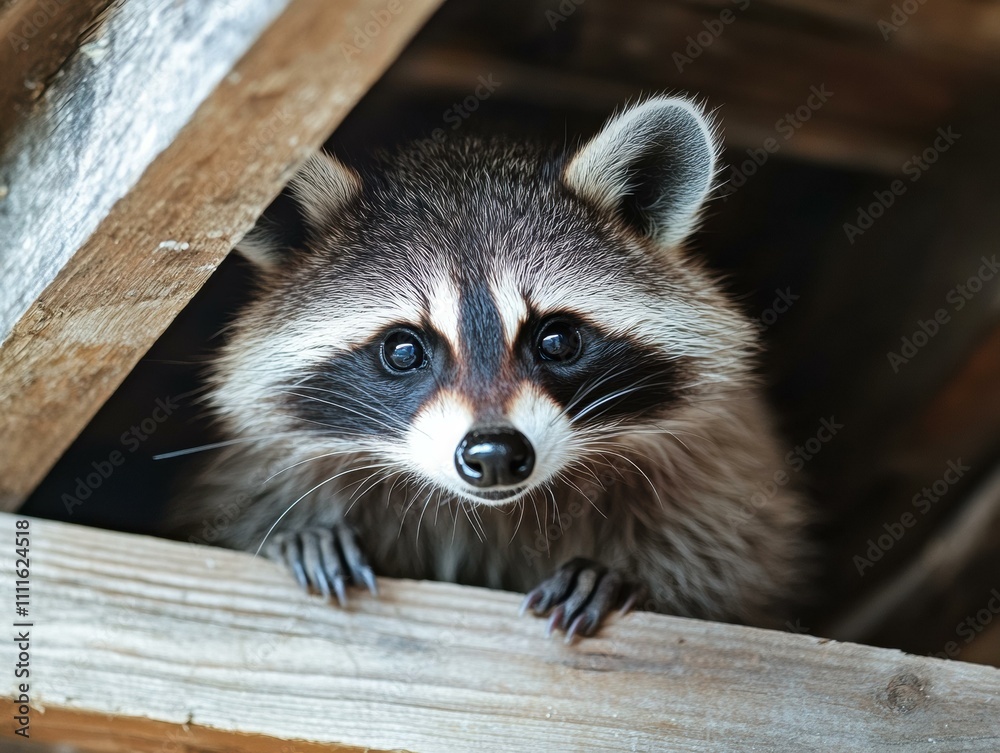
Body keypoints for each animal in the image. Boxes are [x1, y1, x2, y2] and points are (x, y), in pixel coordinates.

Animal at [173, 97, 805, 640]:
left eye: (557, 340)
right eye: (403, 351)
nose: (495, 453)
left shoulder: (720, 469)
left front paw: (626, 577)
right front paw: (300, 537)